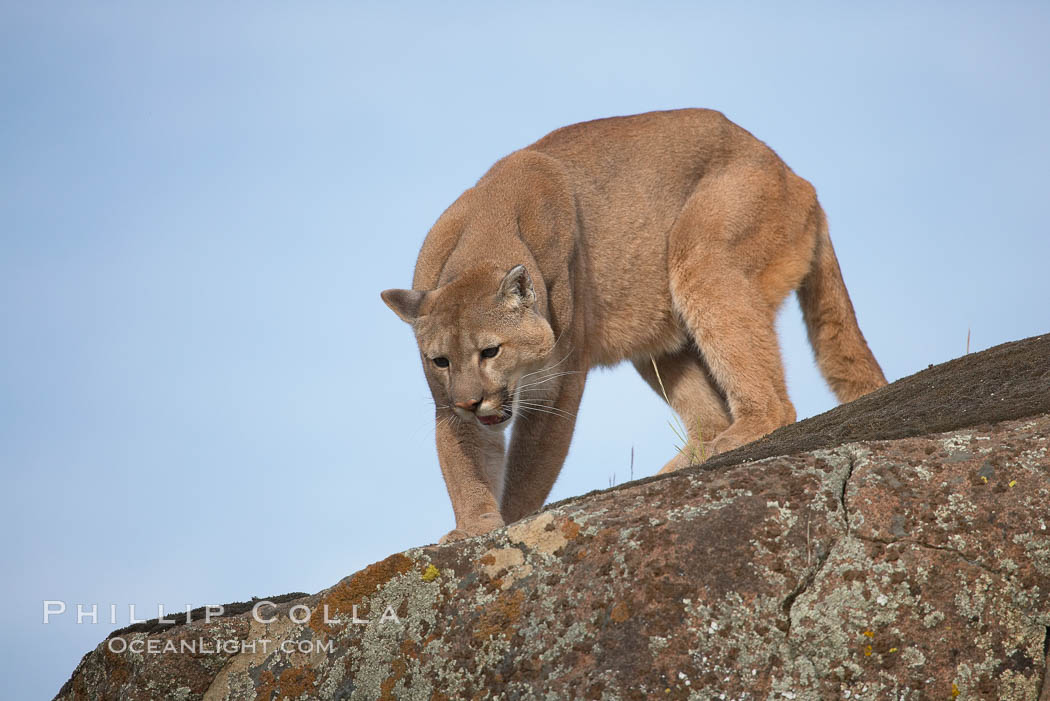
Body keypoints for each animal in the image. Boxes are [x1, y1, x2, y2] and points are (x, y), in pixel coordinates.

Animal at [384, 108, 886, 541]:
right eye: (440, 361)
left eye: (491, 351)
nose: (470, 402)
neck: (483, 237)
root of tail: (797, 177)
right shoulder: (446, 402)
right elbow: (465, 464)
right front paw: (474, 527)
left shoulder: (557, 387)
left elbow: (530, 469)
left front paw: (511, 522)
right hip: (659, 339)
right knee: (709, 417)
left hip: (702, 253)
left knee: (774, 403)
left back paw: (736, 437)